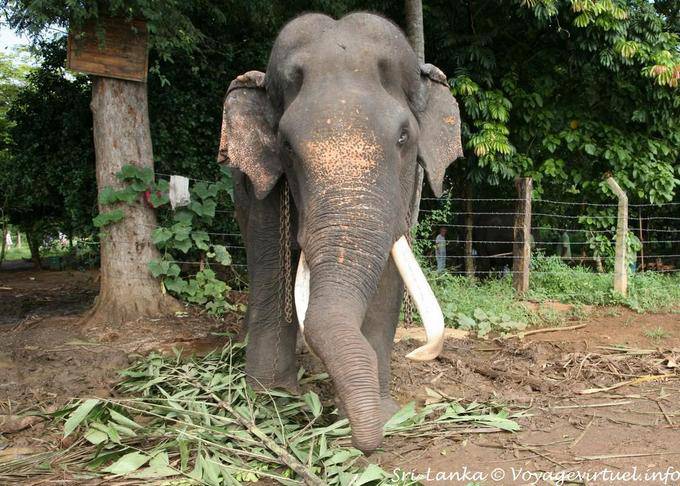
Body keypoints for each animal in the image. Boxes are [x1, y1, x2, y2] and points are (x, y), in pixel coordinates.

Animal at [218, 12, 463, 453]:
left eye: (403, 138)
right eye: (286, 145)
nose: (362, 444)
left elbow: (387, 279)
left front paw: (385, 413)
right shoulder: (265, 189)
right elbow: (273, 266)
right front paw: (269, 399)